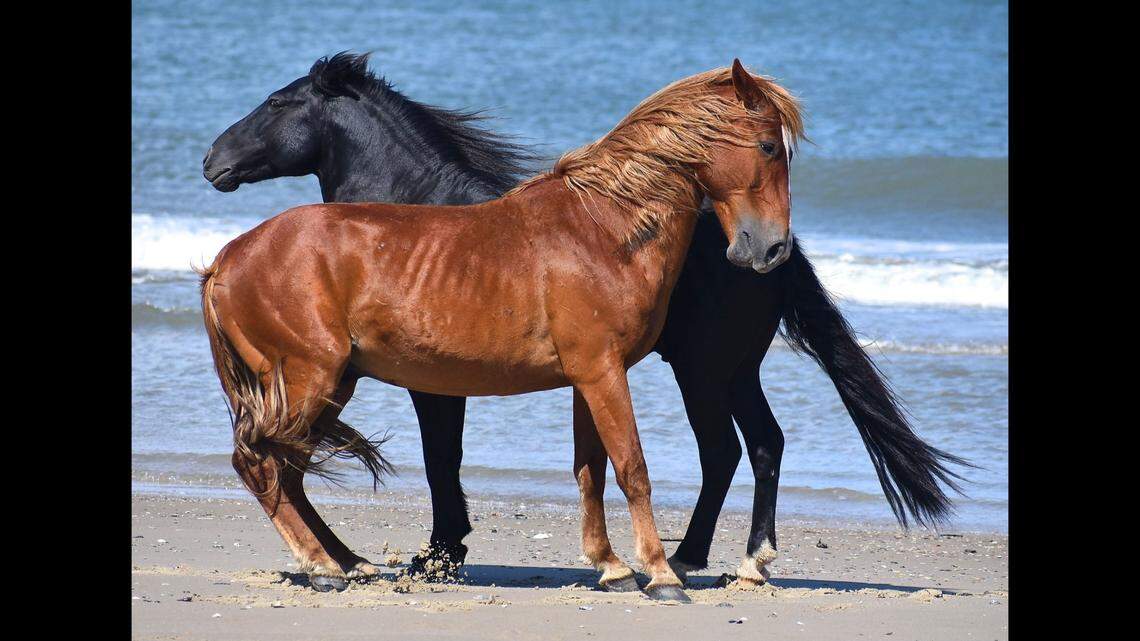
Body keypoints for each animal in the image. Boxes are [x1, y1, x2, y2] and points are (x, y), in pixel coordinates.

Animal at [204, 53, 968, 594]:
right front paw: (646, 573)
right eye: (769, 148)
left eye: (277, 103)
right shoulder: (589, 373)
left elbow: (593, 468)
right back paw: (328, 565)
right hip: (316, 378)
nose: (763, 246)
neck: (603, 227)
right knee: (265, 463)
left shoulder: (591, 372)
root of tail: (226, 260)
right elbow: (622, 466)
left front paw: (615, 566)